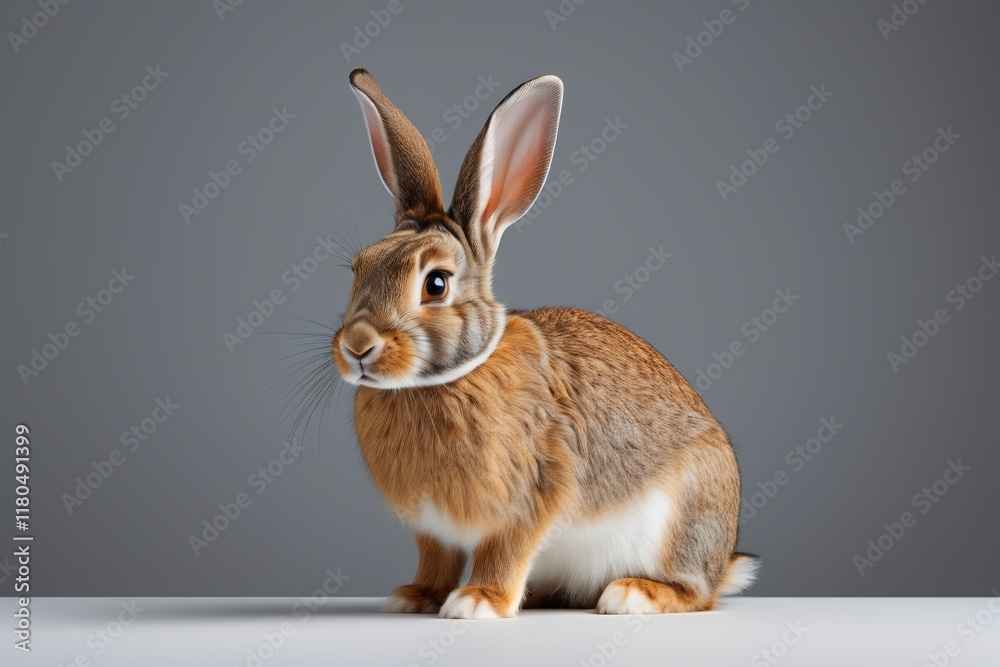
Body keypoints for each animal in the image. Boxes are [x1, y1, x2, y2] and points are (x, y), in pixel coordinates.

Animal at [333, 68, 758, 619]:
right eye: (357, 269)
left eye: (436, 284)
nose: (357, 346)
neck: (442, 381)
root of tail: (724, 559)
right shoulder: (432, 531)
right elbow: (436, 561)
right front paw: (413, 597)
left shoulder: (530, 498)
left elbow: (504, 552)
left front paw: (478, 602)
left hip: (685, 518)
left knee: (696, 592)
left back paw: (631, 593)